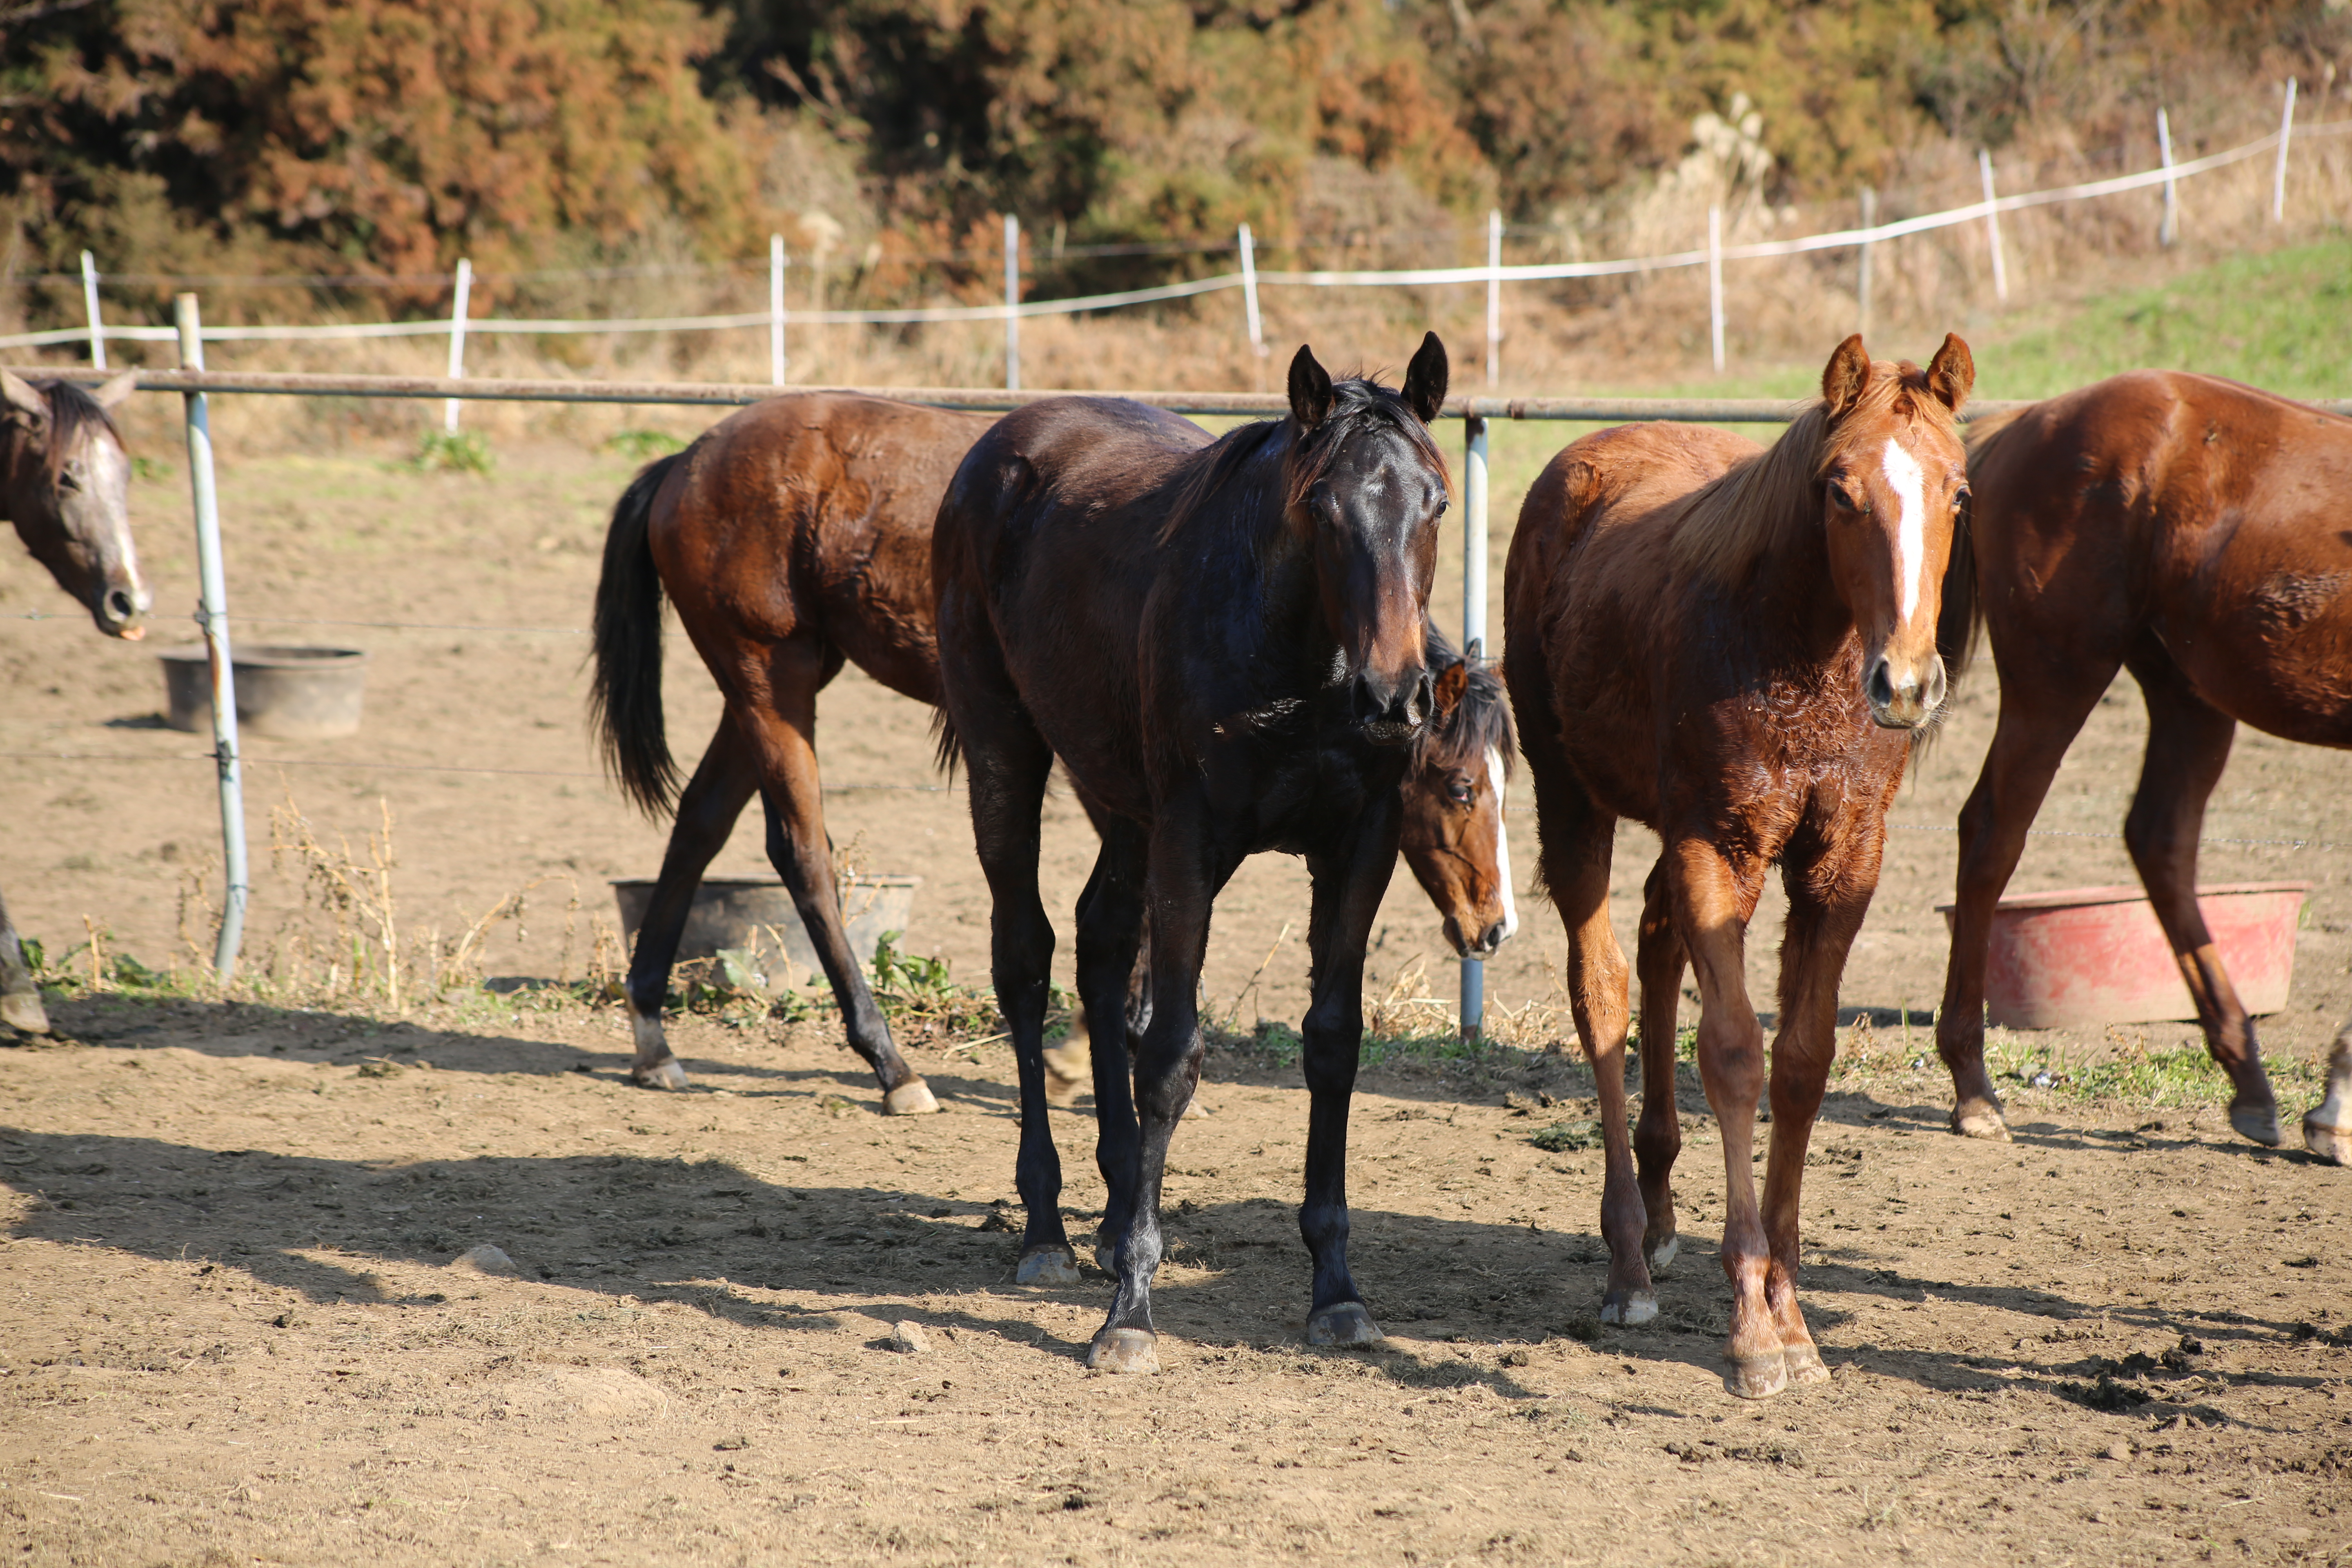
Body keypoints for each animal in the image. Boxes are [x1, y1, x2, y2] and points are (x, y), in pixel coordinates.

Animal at [931, 339, 1449, 1363]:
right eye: (1323, 507)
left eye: (1436, 502)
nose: (1395, 695)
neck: (1303, 662)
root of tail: (999, 448)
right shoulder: (1190, 840)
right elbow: (1170, 1055)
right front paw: (1130, 1310)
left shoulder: (1359, 846)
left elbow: (1332, 1046)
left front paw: (1336, 1290)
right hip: (1006, 753)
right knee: (1026, 959)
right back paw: (1048, 1228)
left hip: (1119, 808)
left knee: (1098, 947)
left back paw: (1109, 1209)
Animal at [1496, 339, 1976, 1401]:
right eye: (1838, 490)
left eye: (1958, 492)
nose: (1906, 683)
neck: (1798, 656)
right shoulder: (1713, 846)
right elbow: (1729, 1053)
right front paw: (1756, 1327)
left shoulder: (1842, 862)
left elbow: (1800, 1061)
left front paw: (1790, 1301)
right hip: (1575, 802)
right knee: (1600, 992)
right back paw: (1627, 1262)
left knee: (1652, 946)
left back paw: (1661, 1213)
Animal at [1929, 364, 2352, 1152]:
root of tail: (2026, 423)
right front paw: (2337, 1105)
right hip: (2059, 679)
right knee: (1993, 832)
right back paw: (1973, 1086)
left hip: (2188, 695)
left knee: (2159, 839)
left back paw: (2248, 1078)